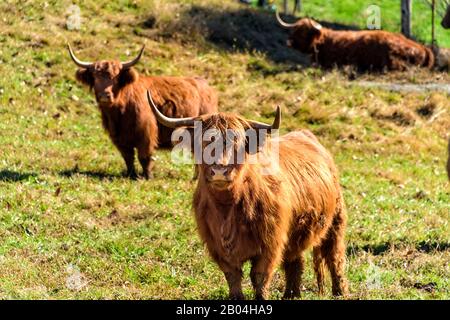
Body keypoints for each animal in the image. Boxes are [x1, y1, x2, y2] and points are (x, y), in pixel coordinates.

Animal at [67, 43, 219, 179]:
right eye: (95, 77)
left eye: (116, 78)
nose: (105, 95)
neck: (119, 113)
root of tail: (206, 85)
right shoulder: (119, 139)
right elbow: (128, 157)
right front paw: (131, 174)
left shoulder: (146, 133)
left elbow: (144, 157)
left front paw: (148, 176)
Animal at [147, 90, 348, 300]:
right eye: (203, 142)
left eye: (237, 144)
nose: (220, 171)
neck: (227, 209)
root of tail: (306, 135)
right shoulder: (218, 246)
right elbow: (233, 276)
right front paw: (236, 297)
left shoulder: (270, 243)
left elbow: (259, 276)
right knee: (295, 260)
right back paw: (291, 295)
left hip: (336, 221)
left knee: (335, 258)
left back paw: (339, 292)